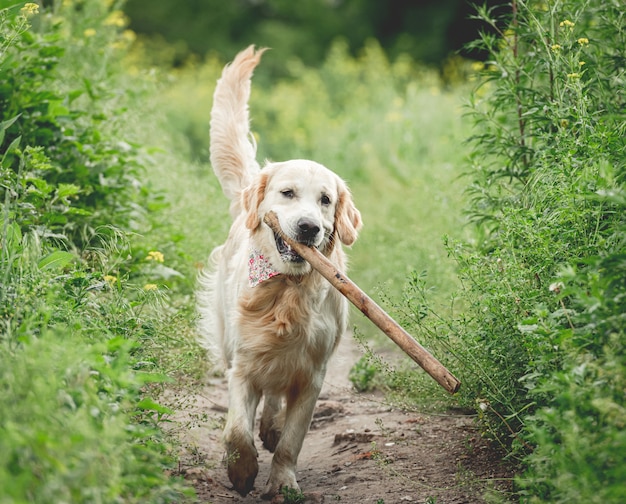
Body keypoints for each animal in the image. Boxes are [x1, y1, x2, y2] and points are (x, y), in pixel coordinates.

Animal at [195, 45, 360, 498]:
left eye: (325, 200)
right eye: (287, 193)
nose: (309, 227)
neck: (286, 290)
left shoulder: (313, 377)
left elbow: (292, 439)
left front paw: (282, 481)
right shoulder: (242, 365)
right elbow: (236, 430)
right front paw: (242, 471)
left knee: (274, 404)